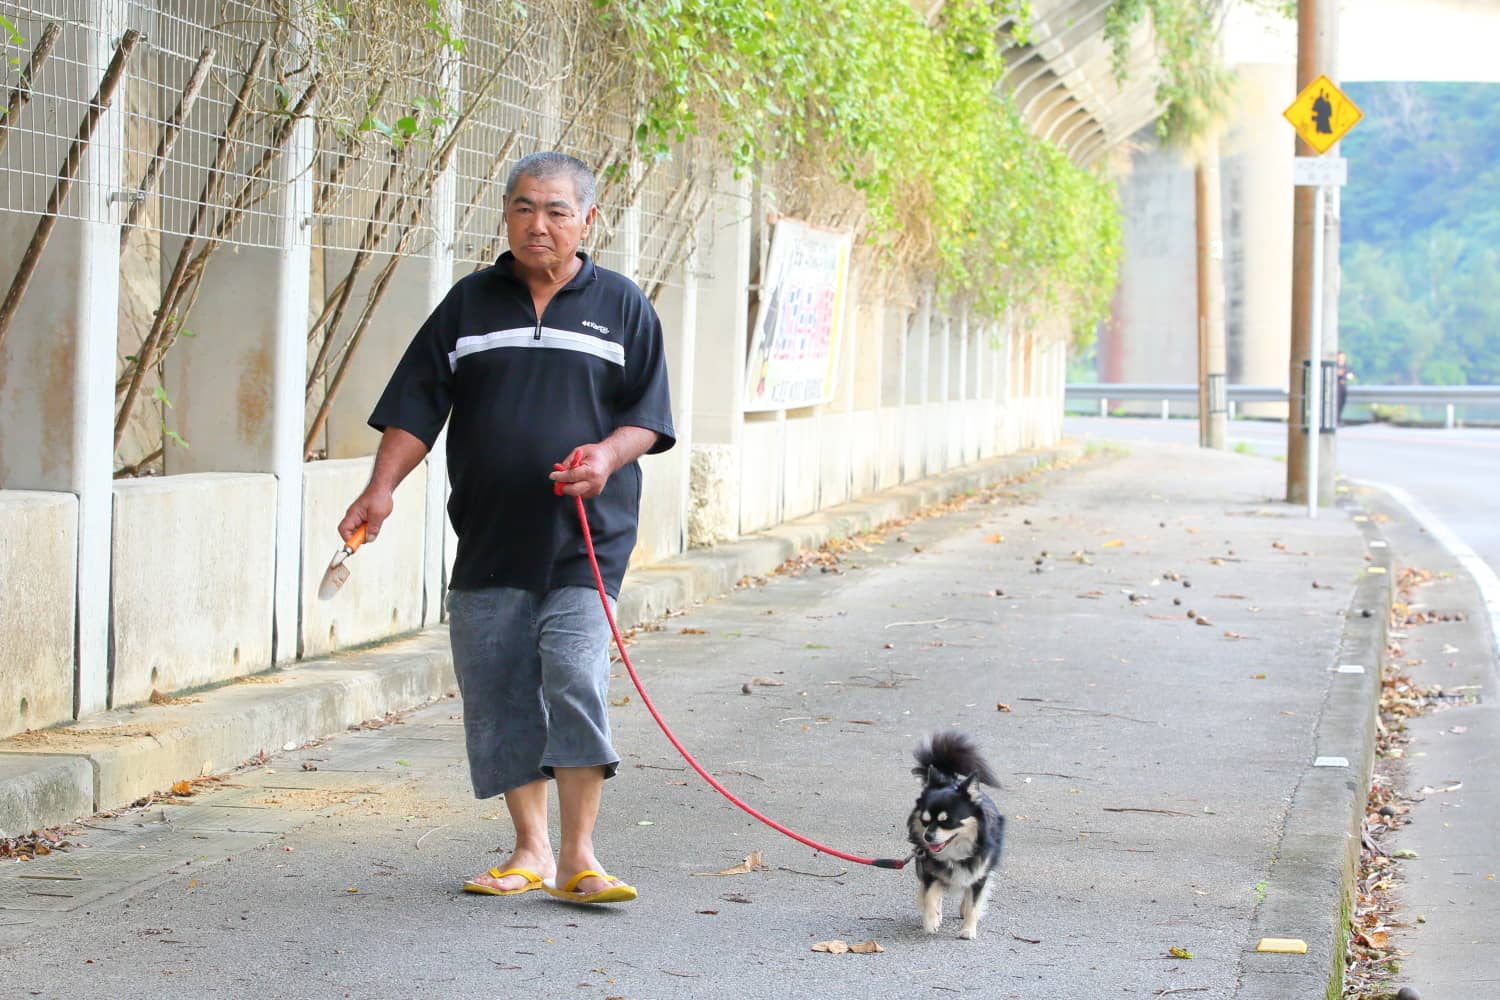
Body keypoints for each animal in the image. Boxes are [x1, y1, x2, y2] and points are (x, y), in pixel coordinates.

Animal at [900, 734, 1008, 941]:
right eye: (925, 821)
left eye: (947, 822)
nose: (927, 836)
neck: (953, 852)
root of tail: (950, 778)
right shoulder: (930, 869)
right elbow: (930, 895)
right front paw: (931, 920)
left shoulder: (979, 874)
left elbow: (974, 903)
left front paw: (968, 929)